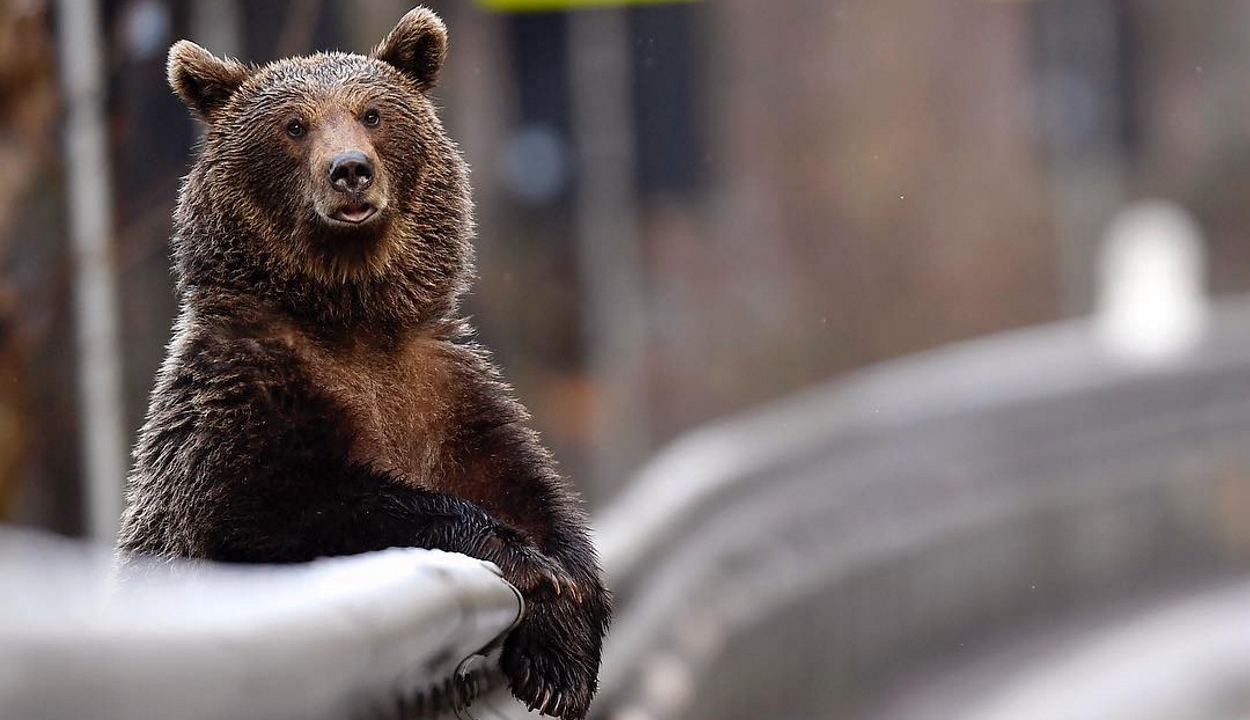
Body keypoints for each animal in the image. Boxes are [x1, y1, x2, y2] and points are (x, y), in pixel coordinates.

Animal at [115, 7, 612, 720]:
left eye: (373, 113)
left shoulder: (442, 390)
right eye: (294, 125)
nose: (349, 171)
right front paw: (518, 558)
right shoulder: (240, 398)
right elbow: (280, 510)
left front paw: (562, 649)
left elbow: (527, 490)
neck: (352, 322)